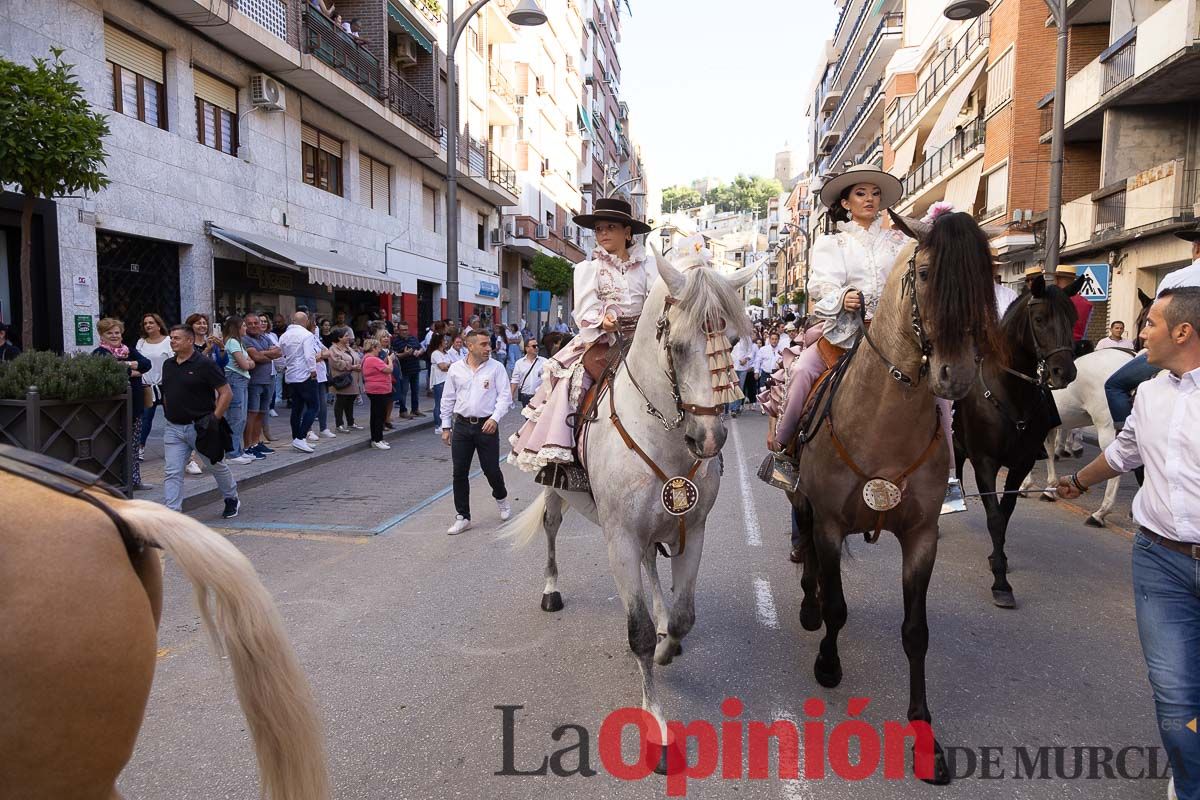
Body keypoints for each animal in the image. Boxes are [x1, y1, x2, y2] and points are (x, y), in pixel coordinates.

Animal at [508, 253, 753, 767]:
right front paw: (657, 725)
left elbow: (682, 618)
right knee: (551, 530)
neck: (664, 436)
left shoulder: (692, 530)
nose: (709, 440)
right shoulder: (618, 536)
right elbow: (636, 632)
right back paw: (551, 589)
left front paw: (667, 644)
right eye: (676, 346)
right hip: (557, 493)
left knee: (650, 566)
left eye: (734, 341)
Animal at [787, 209, 1003, 786]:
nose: (956, 375)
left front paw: (924, 736)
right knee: (807, 550)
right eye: (924, 274)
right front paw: (828, 664)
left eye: (986, 281)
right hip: (805, 503)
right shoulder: (830, 523)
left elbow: (916, 632)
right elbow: (837, 606)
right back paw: (808, 605)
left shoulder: (923, 536)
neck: (882, 420)